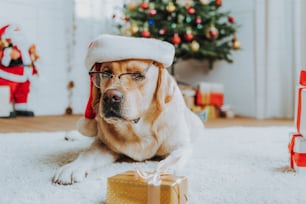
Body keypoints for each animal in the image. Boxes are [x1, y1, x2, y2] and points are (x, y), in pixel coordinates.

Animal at [52, 34, 204, 185]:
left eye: (138, 75)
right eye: (106, 73)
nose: (110, 97)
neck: (137, 129)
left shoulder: (181, 147)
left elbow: (172, 160)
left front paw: (162, 173)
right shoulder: (103, 145)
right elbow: (88, 154)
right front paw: (72, 167)